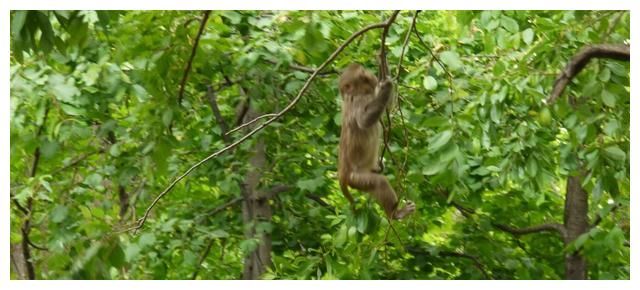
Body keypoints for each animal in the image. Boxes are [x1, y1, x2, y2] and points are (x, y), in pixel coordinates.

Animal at [338, 62, 418, 219]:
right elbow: (364, 121)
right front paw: (386, 85)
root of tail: (343, 173)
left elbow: (388, 106)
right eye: (364, 78)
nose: (373, 79)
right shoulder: (358, 101)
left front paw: (384, 67)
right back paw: (395, 213)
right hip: (357, 178)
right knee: (379, 183)